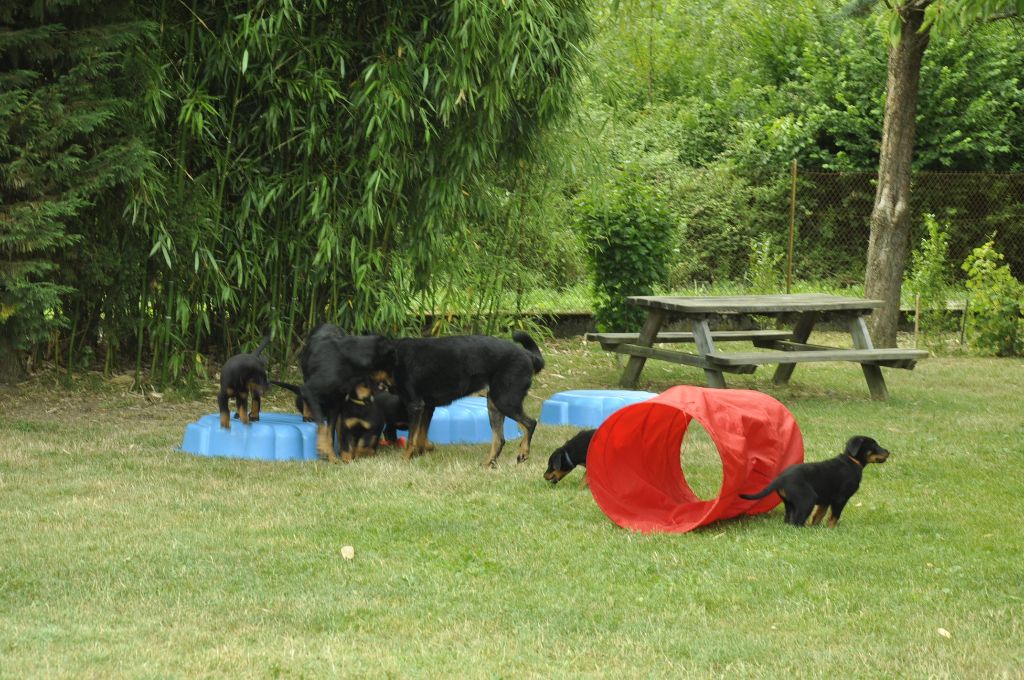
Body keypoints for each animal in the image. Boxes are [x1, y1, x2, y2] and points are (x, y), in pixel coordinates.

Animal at [391, 329, 544, 466]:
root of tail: (529, 355)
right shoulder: (427, 407)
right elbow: (421, 438)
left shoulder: (416, 406)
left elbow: (412, 439)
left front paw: (405, 458)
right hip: (493, 404)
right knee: (500, 439)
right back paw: (488, 462)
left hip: (504, 401)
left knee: (530, 423)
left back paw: (523, 452)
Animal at [741, 438, 892, 528]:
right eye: (874, 445)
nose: (888, 452)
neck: (852, 461)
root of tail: (780, 478)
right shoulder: (840, 498)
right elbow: (834, 516)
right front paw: (831, 529)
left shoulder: (825, 500)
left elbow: (818, 515)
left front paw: (816, 527)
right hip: (807, 499)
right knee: (796, 521)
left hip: (790, 503)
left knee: (789, 520)